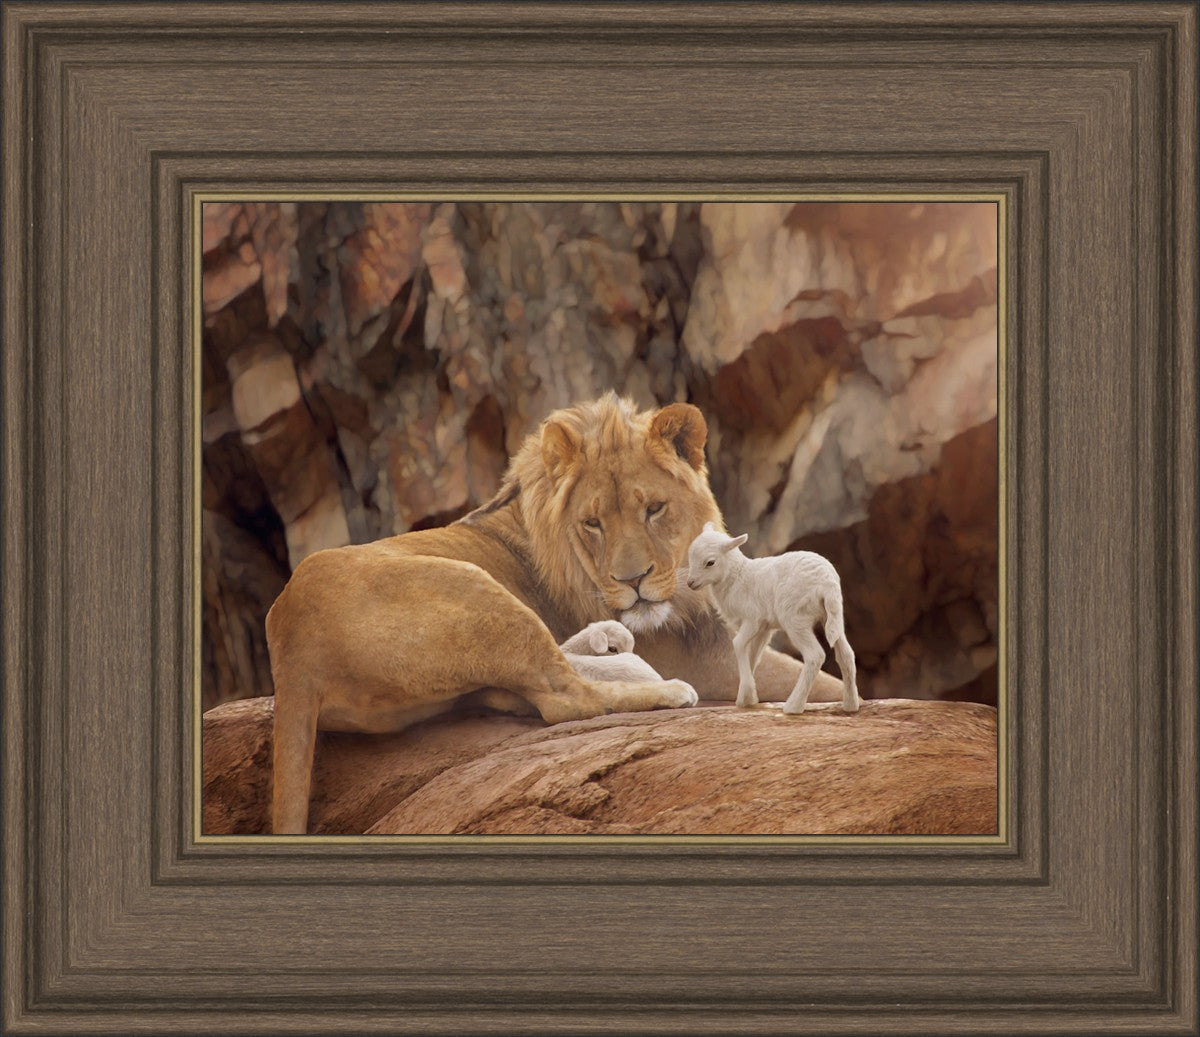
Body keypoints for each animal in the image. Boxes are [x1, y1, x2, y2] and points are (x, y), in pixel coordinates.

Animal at [685, 523, 860, 715]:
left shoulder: (752, 619)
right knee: (846, 654)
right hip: (833, 616)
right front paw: (747, 697)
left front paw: (746, 695)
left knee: (815, 656)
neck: (737, 577)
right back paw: (850, 705)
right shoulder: (764, 628)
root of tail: (827, 583)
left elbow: (738, 644)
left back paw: (793, 706)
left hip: (795, 618)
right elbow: (753, 655)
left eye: (710, 562)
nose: (690, 583)